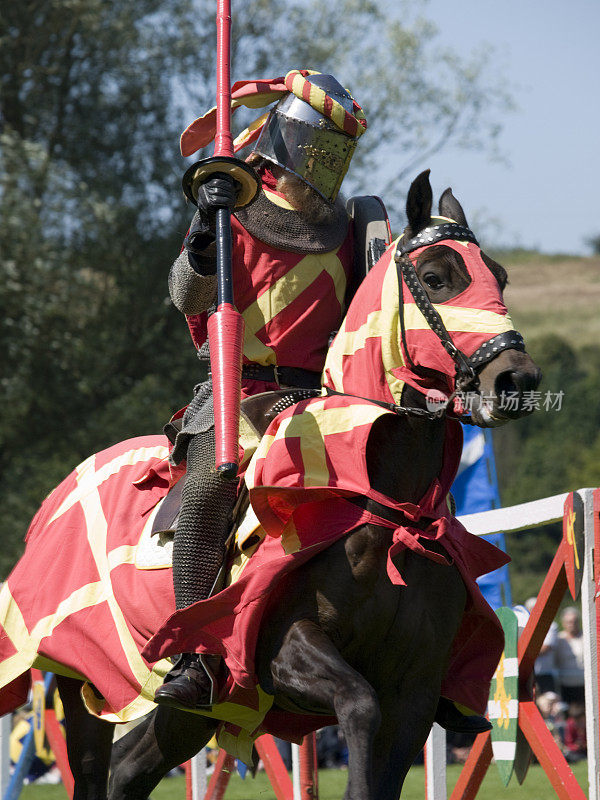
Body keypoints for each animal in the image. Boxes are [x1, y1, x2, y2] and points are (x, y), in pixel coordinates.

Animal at [5, 173, 544, 800]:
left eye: (499, 276)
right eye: (436, 276)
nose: (517, 380)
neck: (387, 507)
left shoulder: (413, 693)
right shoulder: (281, 650)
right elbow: (358, 704)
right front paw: (208, 219)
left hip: (193, 714)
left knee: (129, 770)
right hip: (78, 678)